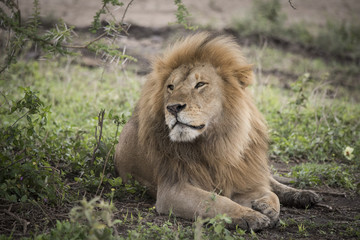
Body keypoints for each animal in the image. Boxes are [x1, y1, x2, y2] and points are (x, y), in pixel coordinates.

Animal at [114, 32, 320, 231]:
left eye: (200, 84)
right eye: (170, 87)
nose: (172, 108)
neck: (215, 141)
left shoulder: (239, 177)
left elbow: (269, 193)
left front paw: (266, 207)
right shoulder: (172, 189)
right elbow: (215, 201)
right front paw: (250, 216)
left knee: (272, 182)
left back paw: (303, 195)